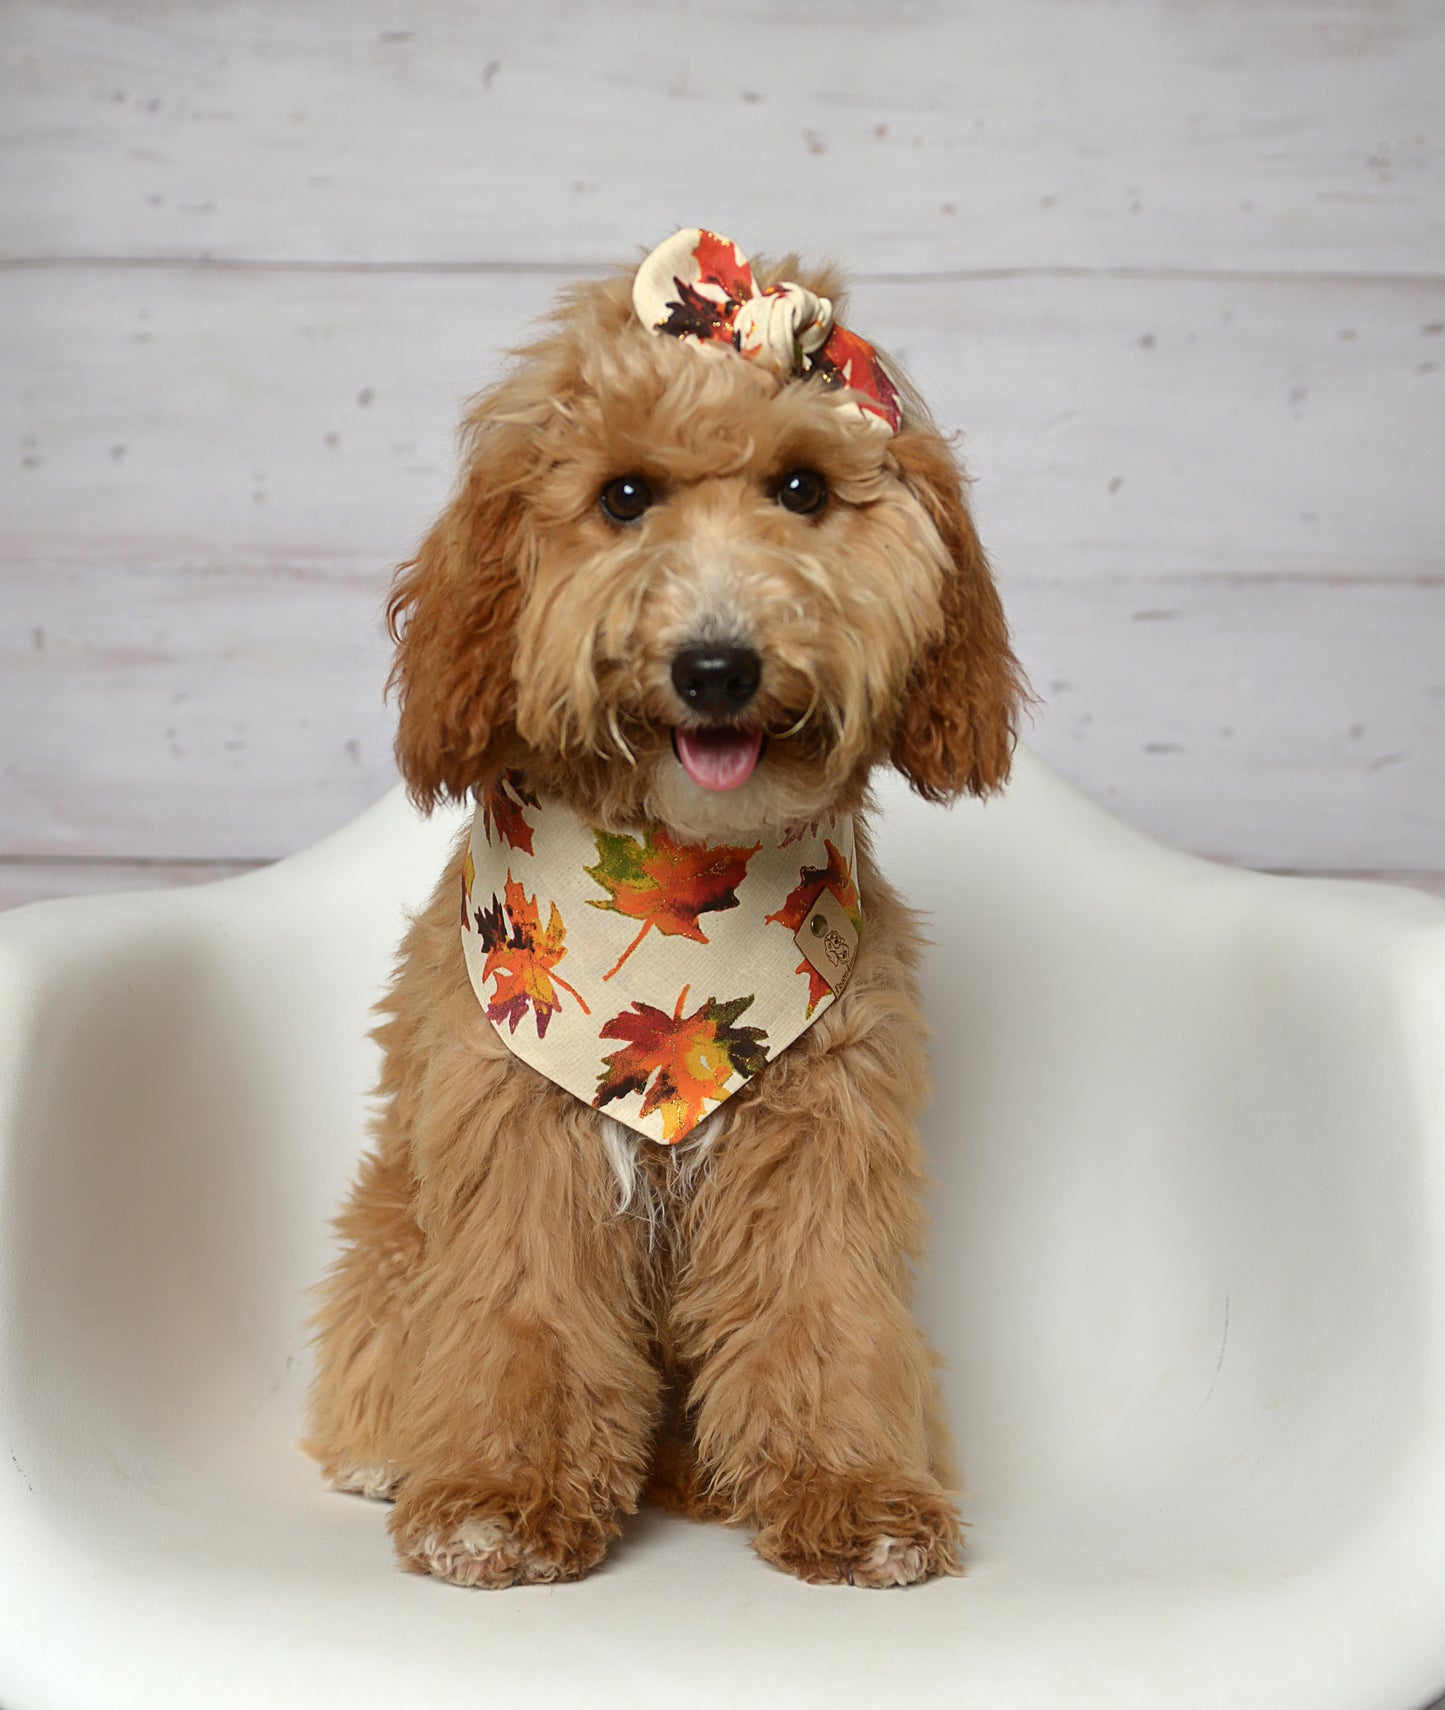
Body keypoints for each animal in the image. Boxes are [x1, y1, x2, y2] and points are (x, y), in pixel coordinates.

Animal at [304, 224, 1026, 1586]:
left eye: (800, 488)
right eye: (624, 497)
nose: (715, 666)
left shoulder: (822, 1144)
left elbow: (819, 1317)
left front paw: (848, 1492)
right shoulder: (519, 1143)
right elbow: (523, 1319)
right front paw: (499, 1495)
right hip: (391, 1218)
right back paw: (386, 1448)